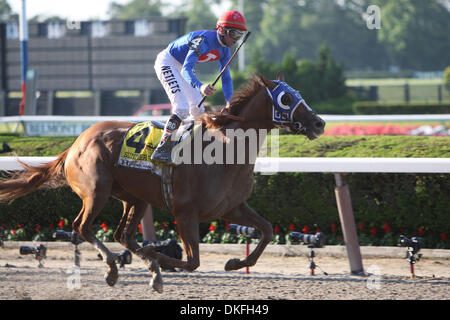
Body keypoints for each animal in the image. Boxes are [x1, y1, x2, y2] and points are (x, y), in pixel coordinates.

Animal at [0, 72, 326, 292]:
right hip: (96, 191)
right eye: (286, 98)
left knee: (122, 234)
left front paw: (235, 263)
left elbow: (267, 230)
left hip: (135, 198)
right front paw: (158, 256)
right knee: (82, 226)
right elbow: (192, 261)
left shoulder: (231, 207)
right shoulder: (185, 211)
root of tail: (75, 143)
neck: (224, 150)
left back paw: (148, 267)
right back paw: (115, 267)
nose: (319, 122)